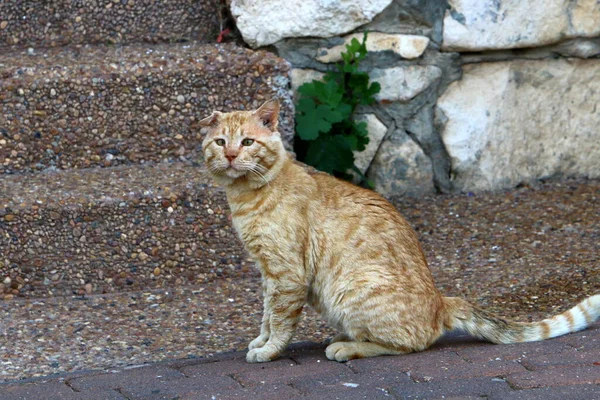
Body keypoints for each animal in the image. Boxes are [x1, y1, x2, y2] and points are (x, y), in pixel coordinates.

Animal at [202, 99, 600, 362]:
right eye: (220, 142)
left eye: (248, 142)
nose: (232, 156)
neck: (246, 196)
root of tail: (442, 301)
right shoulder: (268, 273)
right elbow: (267, 314)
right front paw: (261, 341)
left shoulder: (286, 273)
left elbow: (280, 319)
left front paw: (269, 351)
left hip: (352, 288)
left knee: (410, 344)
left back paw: (345, 346)